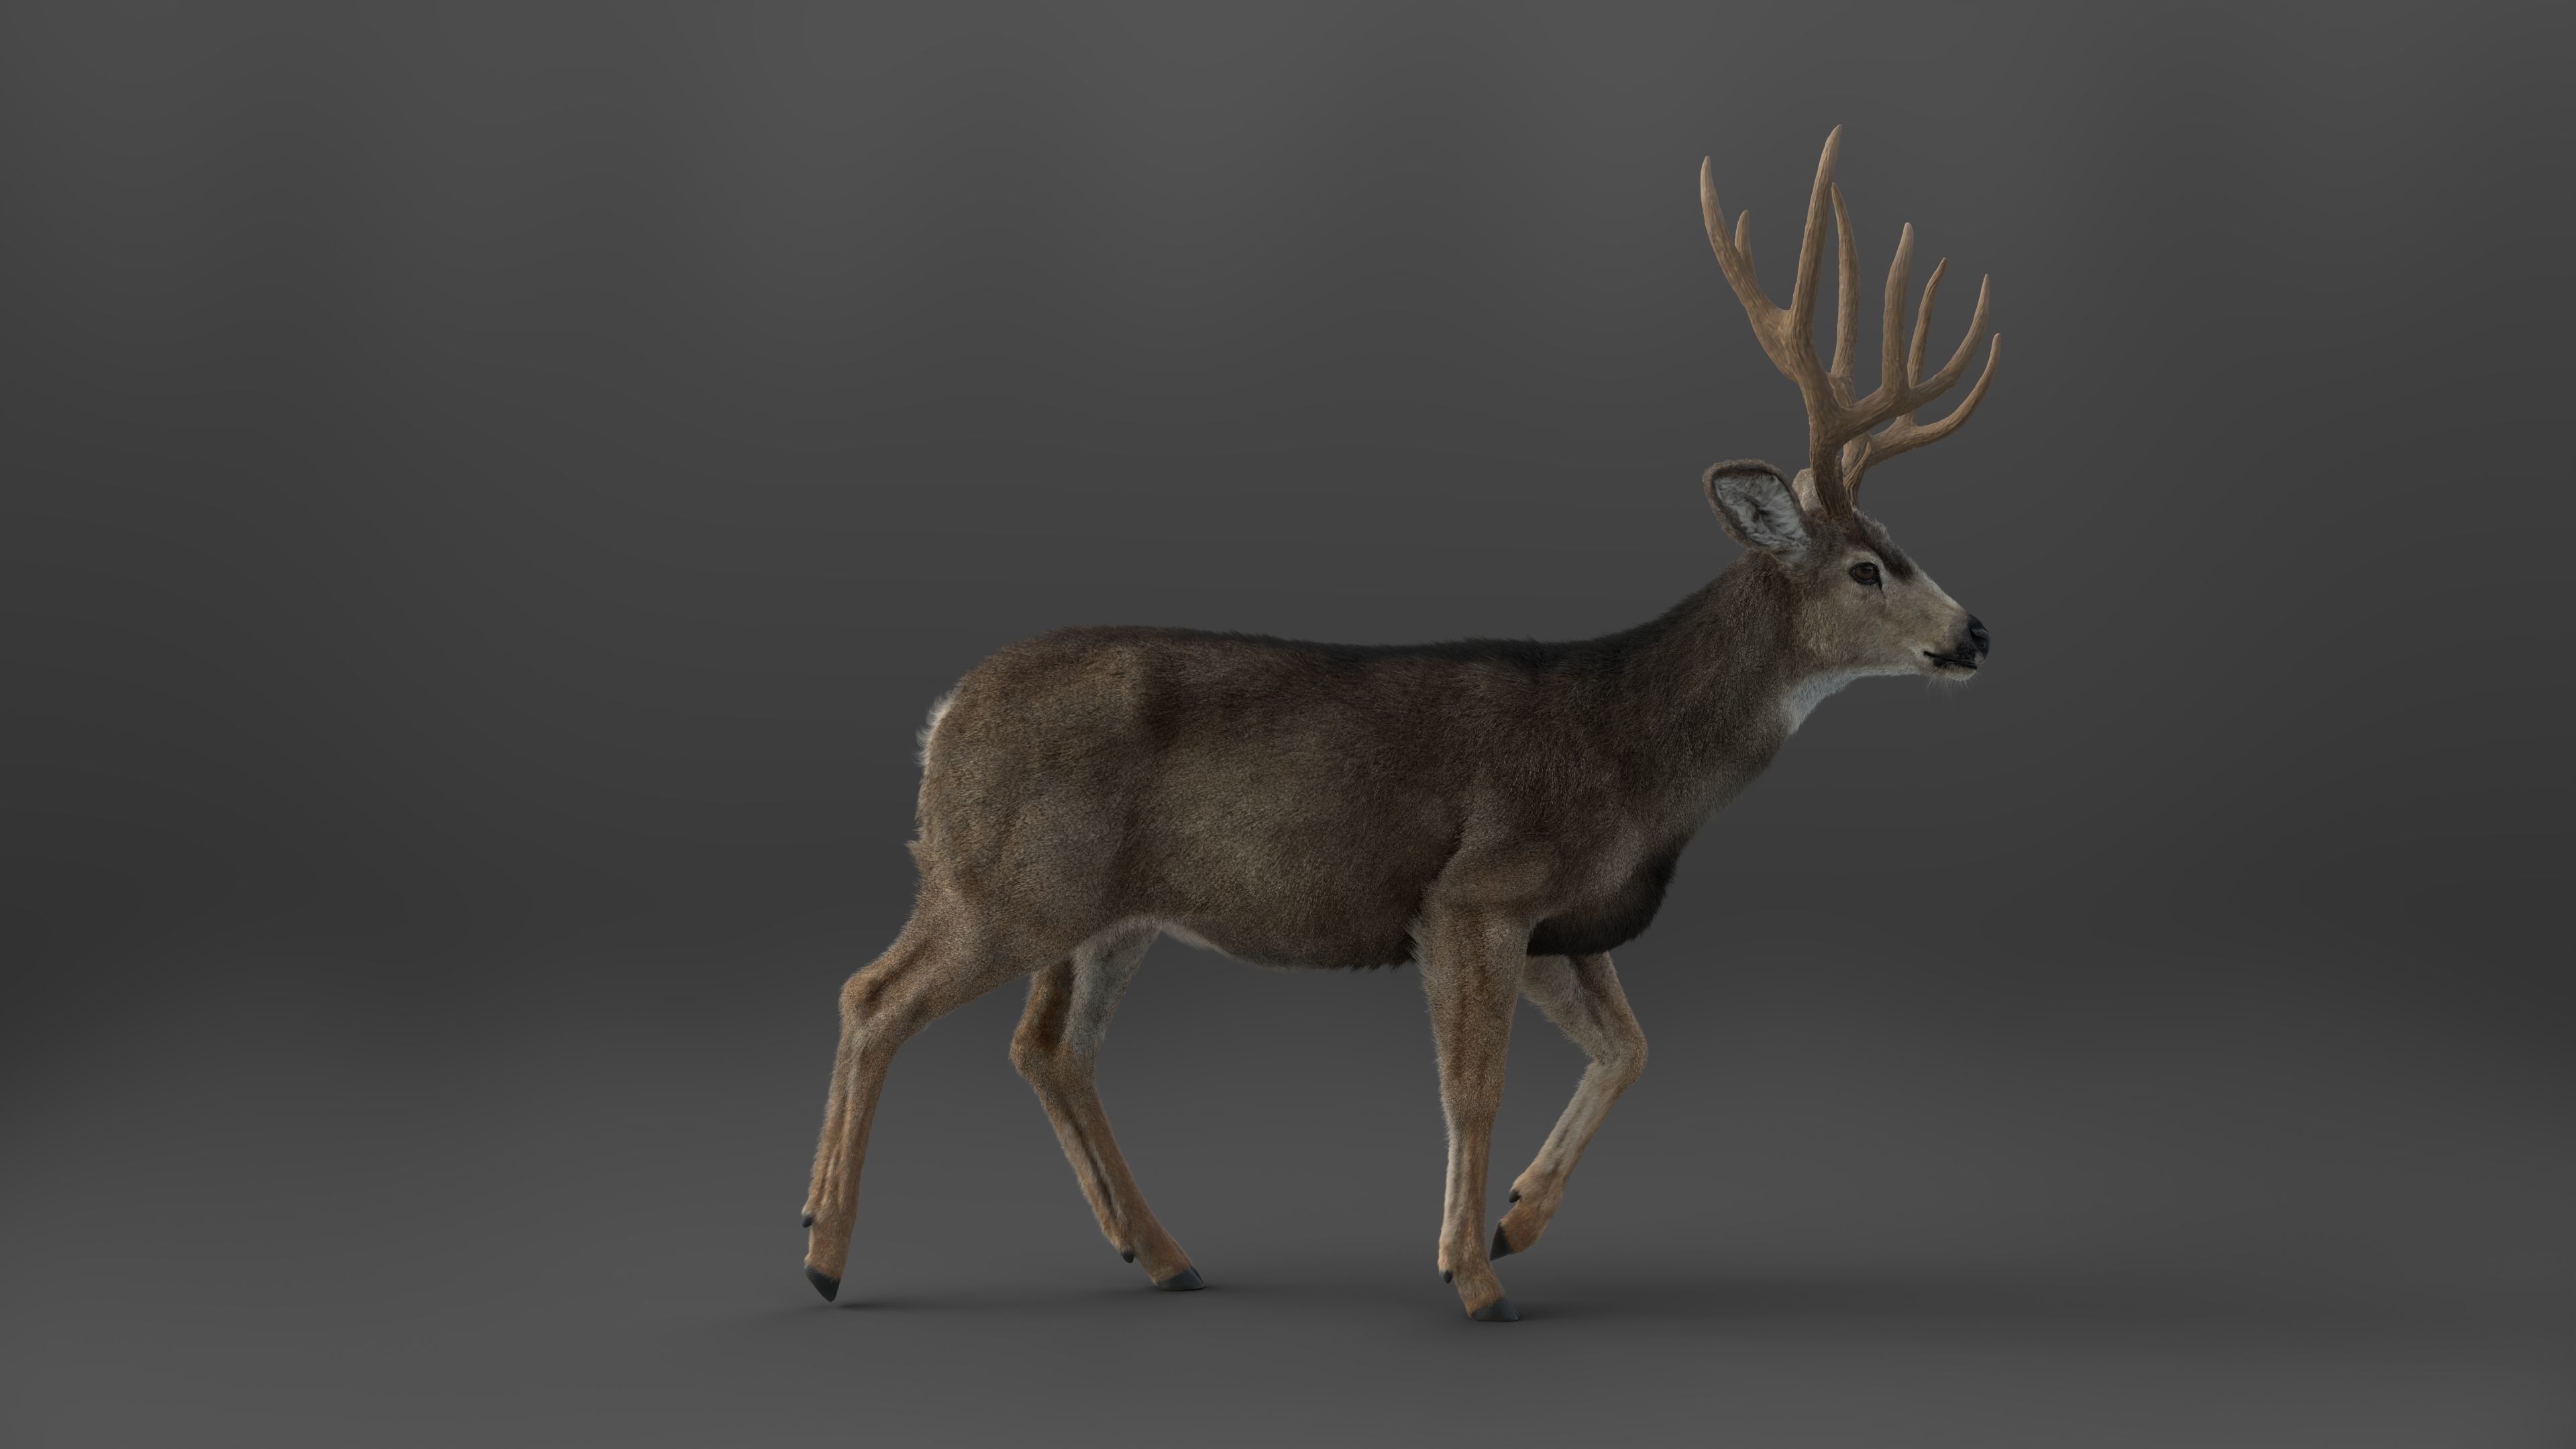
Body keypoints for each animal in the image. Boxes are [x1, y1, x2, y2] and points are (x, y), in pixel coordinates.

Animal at [800, 127, 1999, 1321]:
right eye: (1868, 568)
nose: (1976, 632)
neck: (1638, 755)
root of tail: (942, 717)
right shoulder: (1478, 890)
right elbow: (1474, 1086)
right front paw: (1472, 1275)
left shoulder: (1563, 921)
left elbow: (1630, 1050)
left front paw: (1515, 1222)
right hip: (1002, 881)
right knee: (874, 996)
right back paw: (824, 1252)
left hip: (1103, 915)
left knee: (1047, 1047)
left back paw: (1161, 1252)